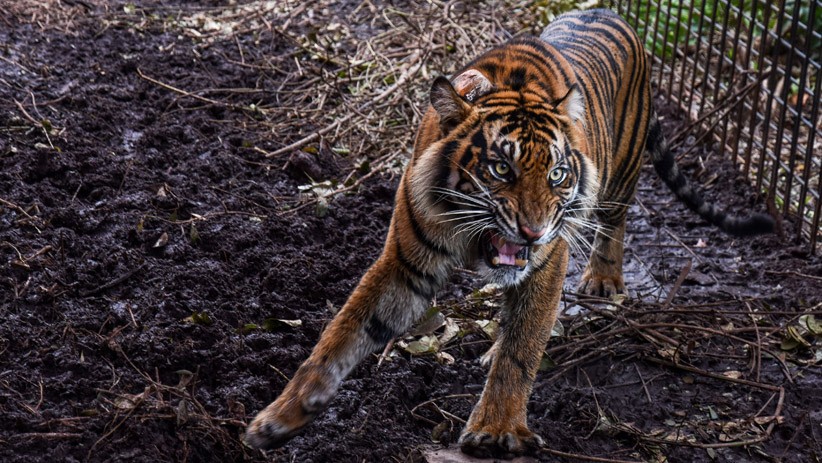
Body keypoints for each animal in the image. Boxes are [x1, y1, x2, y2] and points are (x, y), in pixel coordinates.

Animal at [243, 8, 772, 460]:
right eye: (501, 168)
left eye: (557, 174)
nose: (533, 232)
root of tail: (611, 12)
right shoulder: (406, 262)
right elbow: (343, 331)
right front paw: (279, 418)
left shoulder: (547, 263)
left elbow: (523, 349)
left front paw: (495, 429)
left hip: (619, 177)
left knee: (614, 223)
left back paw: (603, 281)